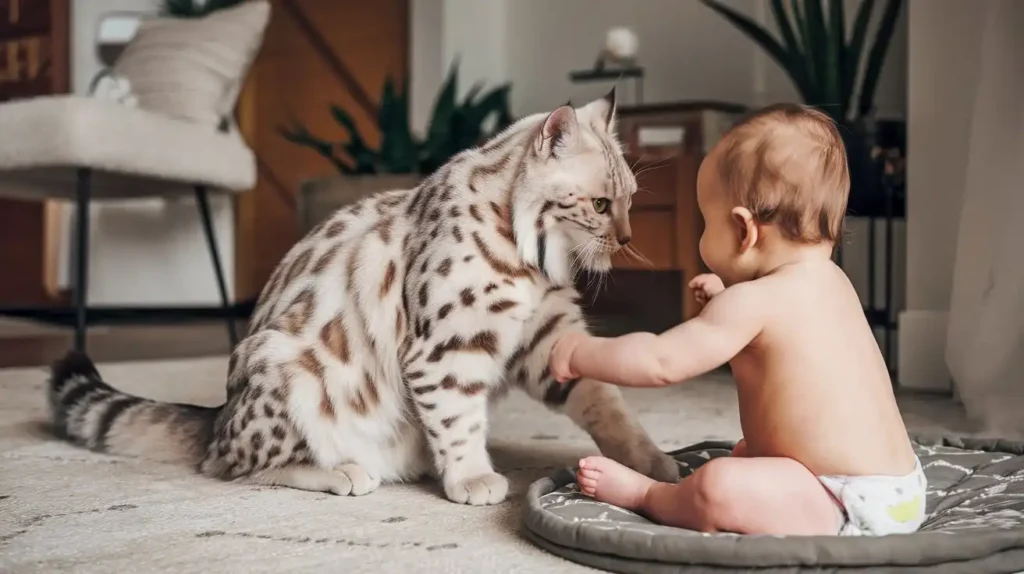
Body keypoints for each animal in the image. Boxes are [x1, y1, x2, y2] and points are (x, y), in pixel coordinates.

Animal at [54, 87, 679, 503]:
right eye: (600, 204)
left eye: (631, 200)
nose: (627, 239)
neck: (533, 258)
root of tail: (218, 414)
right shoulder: (447, 350)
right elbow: (458, 419)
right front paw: (470, 478)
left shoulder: (548, 342)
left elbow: (607, 403)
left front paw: (655, 466)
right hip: (287, 366)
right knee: (229, 465)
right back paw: (342, 471)